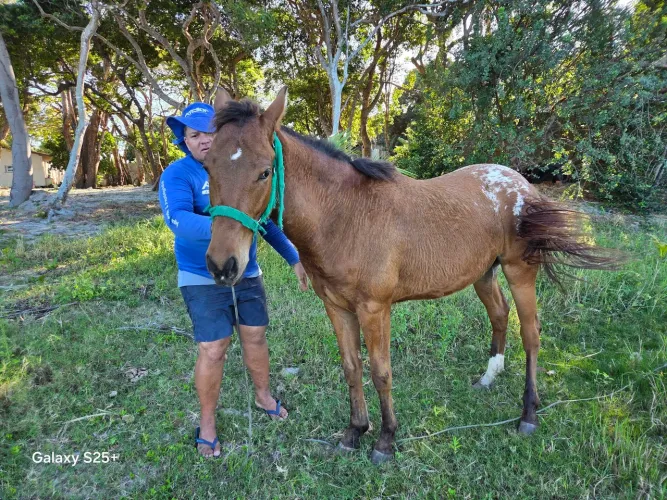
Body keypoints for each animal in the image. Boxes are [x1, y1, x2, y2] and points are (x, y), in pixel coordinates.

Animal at [202, 87, 619, 464]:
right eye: (208, 167)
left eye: (264, 171)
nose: (223, 266)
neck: (344, 215)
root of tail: (520, 183)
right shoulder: (337, 307)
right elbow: (352, 368)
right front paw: (354, 432)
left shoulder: (375, 309)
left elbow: (380, 372)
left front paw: (385, 440)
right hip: (484, 274)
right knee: (500, 315)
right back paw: (488, 378)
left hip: (520, 272)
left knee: (531, 335)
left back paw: (528, 414)